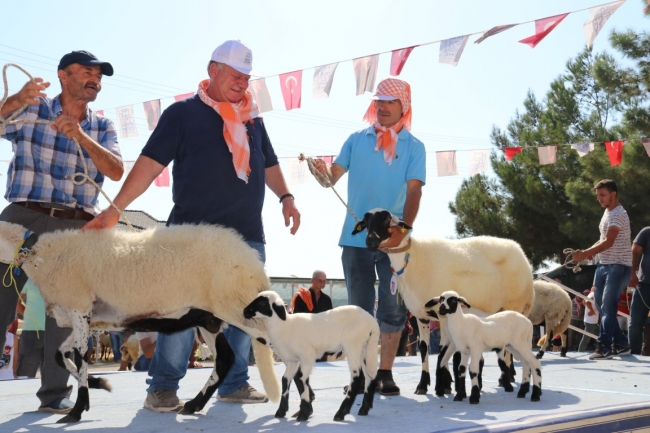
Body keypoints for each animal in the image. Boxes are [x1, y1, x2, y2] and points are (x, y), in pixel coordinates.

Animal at [0, 222, 280, 423]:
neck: (41, 256)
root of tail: (252, 259)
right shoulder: (83, 318)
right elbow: (61, 355)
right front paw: (99, 384)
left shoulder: (79, 308)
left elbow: (79, 360)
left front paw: (76, 411)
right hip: (208, 318)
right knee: (225, 358)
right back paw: (193, 405)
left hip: (236, 307)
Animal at [243, 290, 379, 422]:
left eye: (263, 303)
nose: (245, 311)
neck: (285, 326)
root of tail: (372, 321)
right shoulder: (292, 360)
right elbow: (286, 380)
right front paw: (282, 411)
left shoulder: (307, 356)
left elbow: (301, 378)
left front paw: (304, 413)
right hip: (364, 349)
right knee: (369, 376)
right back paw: (364, 409)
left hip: (352, 346)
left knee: (357, 377)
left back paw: (340, 413)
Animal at [352, 209, 534, 397]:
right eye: (366, 221)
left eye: (386, 219)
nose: (370, 240)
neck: (413, 258)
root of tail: (521, 252)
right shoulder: (421, 316)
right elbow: (424, 348)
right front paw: (424, 385)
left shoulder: (442, 315)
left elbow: (442, 350)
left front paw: (444, 384)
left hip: (514, 305)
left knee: (508, 347)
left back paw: (508, 378)